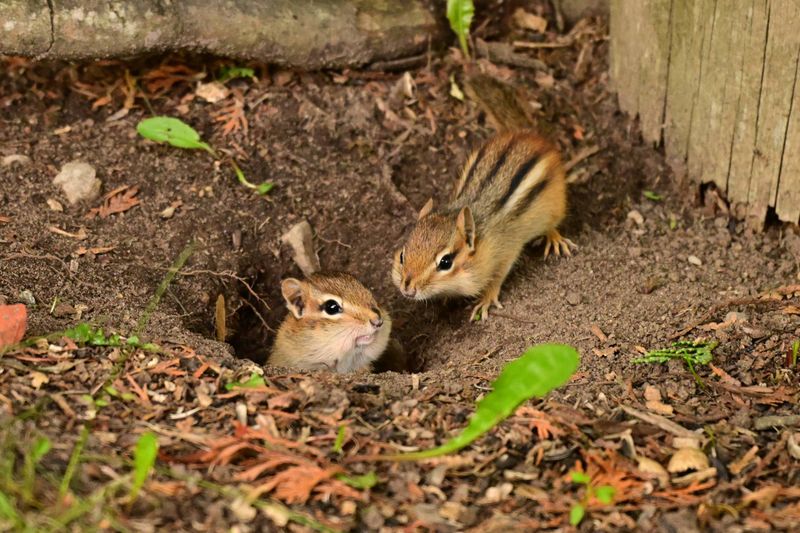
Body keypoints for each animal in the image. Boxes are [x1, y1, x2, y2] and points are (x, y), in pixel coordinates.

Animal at [392, 130, 574, 321]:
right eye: (402, 256)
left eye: (446, 262)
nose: (407, 289)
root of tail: (535, 138)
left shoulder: (506, 252)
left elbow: (497, 277)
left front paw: (486, 299)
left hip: (554, 206)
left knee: (552, 225)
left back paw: (555, 239)